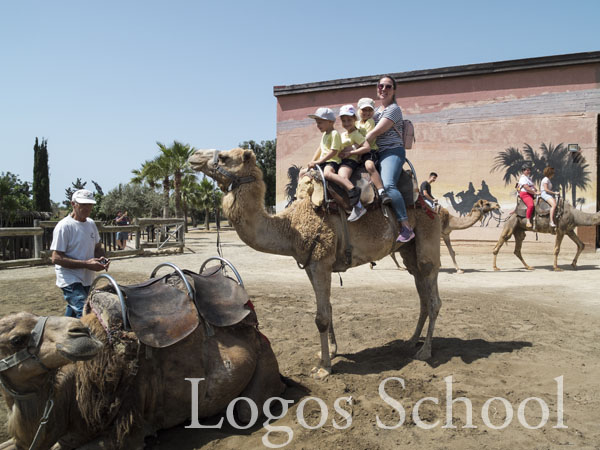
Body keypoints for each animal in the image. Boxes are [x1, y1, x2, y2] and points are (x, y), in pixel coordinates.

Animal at [0, 296, 284, 450]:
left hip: (263, 364)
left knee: (246, 410)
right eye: (16, 340)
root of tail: (256, 330)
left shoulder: (128, 433)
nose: (79, 333)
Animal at [190, 149, 442, 380]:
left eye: (223, 157)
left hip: (427, 236)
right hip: (408, 250)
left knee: (433, 294)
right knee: (421, 291)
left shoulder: (321, 262)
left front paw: (324, 368)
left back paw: (425, 351)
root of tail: (429, 202)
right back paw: (411, 340)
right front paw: (329, 352)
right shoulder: (310, 264)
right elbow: (327, 309)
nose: (194, 156)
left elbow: (321, 318)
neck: (291, 228)